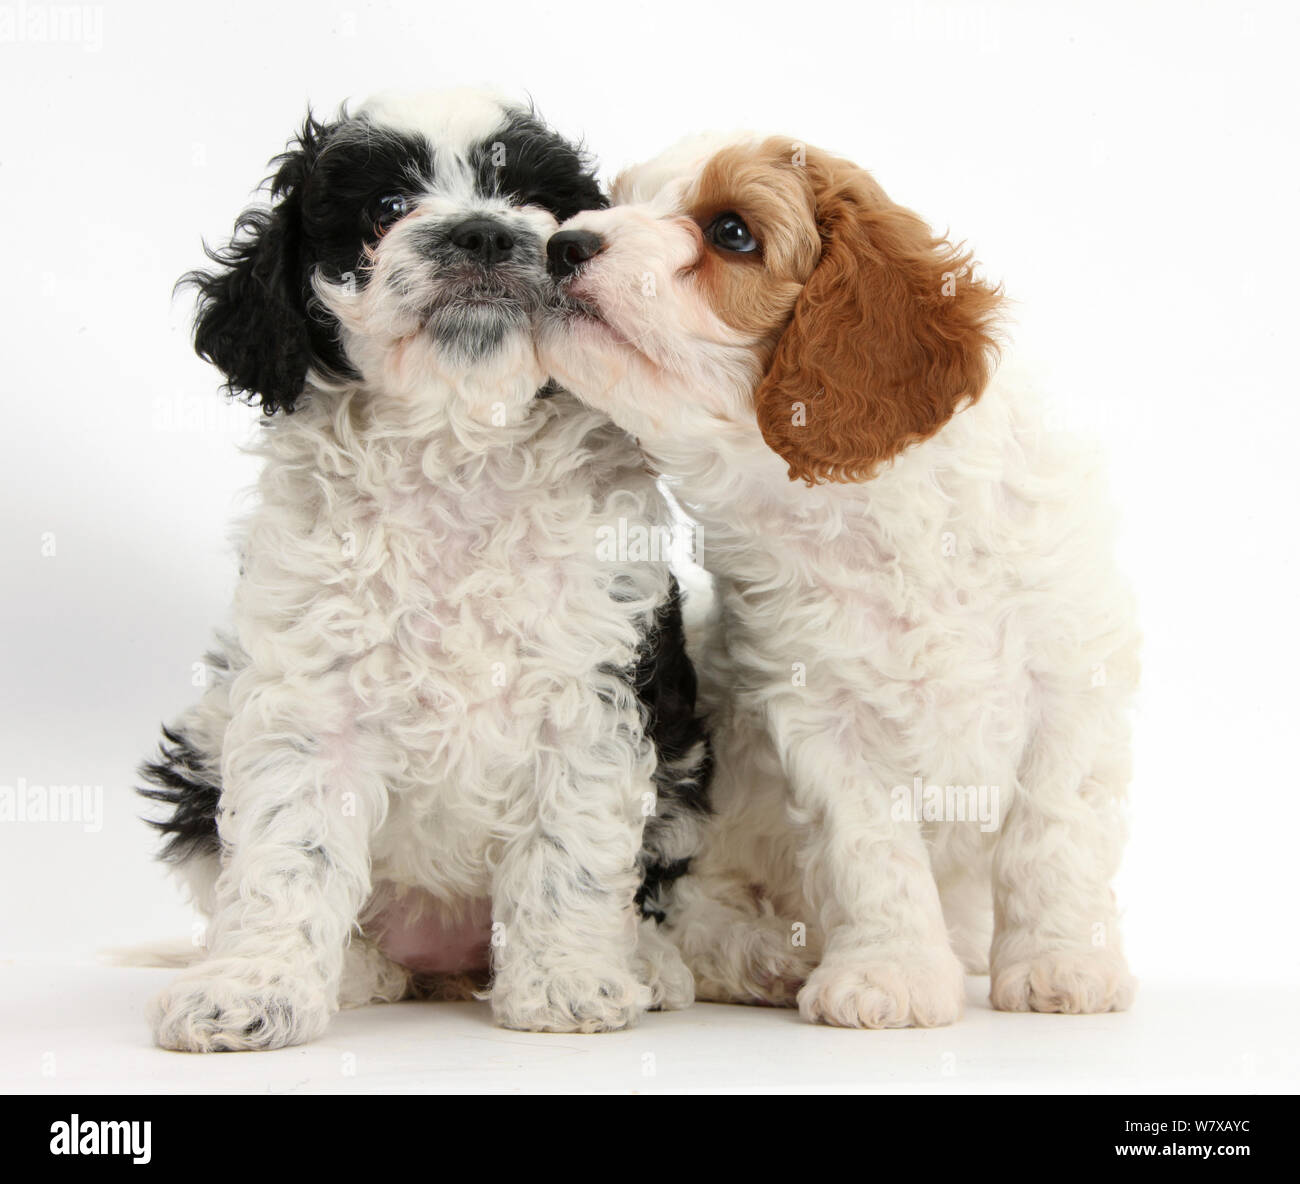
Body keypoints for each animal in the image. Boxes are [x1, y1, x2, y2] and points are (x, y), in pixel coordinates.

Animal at [141, 92, 712, 1055]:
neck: (457, 446)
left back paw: (651, 966)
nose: (481, 232)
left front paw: (565, 985)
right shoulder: (309, 701)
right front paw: (252, 990)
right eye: (386, 208)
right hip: (197, 764)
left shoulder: (595, 687)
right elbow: (289, 851)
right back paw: (356, 971)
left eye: (533, 202)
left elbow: (571, 847)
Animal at [538, 136, 1138, 1029]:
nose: (562, 244)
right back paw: (764, 956)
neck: (865, 518)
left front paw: (1061, 963)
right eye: (614, 204)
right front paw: (889, 974)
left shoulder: (1073, 683)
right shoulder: (822, 718)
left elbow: (1053, 835)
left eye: (732, 231)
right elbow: (871, 852)